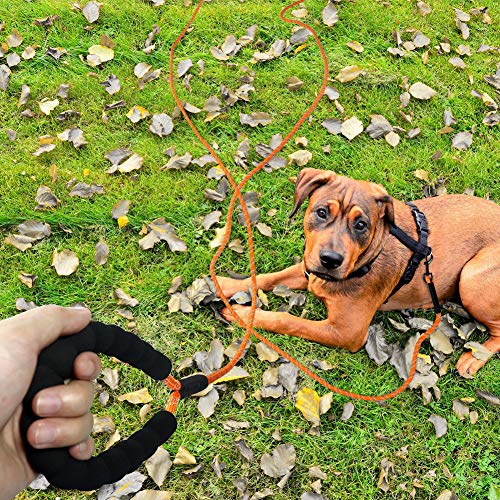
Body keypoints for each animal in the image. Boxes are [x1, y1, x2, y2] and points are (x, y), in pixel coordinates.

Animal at [218, 167, 500, 376]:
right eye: (322, 212)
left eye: (361, 225)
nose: (330, 260)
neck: (365, 261)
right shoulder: (309, 269)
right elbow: (268, 277)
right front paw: (224, 284)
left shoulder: (347, 332)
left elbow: (289, 321)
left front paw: (243, 313)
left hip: (471, 278)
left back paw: (474, 358)